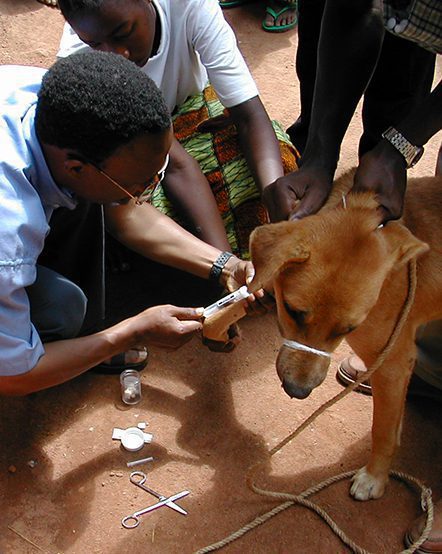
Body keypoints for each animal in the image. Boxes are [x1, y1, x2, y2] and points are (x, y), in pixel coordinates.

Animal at [249, 172, 442, 500]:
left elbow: (383, 429)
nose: (297, 391)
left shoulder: (393, 362)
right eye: (292, 311)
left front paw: (375, 478)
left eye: (348, 329)